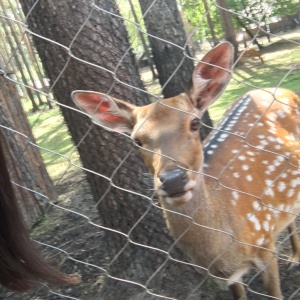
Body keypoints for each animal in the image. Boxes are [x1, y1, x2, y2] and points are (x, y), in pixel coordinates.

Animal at [72, 42, 300, 300]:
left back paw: (294, 258)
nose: (173, 180)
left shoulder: (265, 247)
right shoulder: (230, 275)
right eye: (136, 140)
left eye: (195, 123)